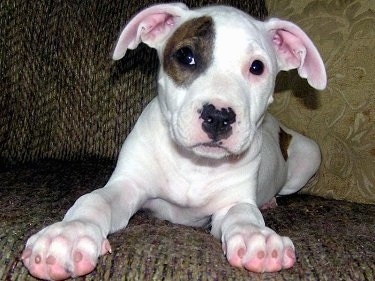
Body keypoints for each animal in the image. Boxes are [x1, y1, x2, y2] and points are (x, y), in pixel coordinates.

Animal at [22, 3, 326, 278]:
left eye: (257, 67)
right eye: (186, 56)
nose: (218, 116)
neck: (195, 164)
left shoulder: (232, 201)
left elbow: (243, 214)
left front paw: (256, 238)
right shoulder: (127, 185)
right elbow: (94, 200)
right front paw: (68, 235)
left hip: (311, 155)